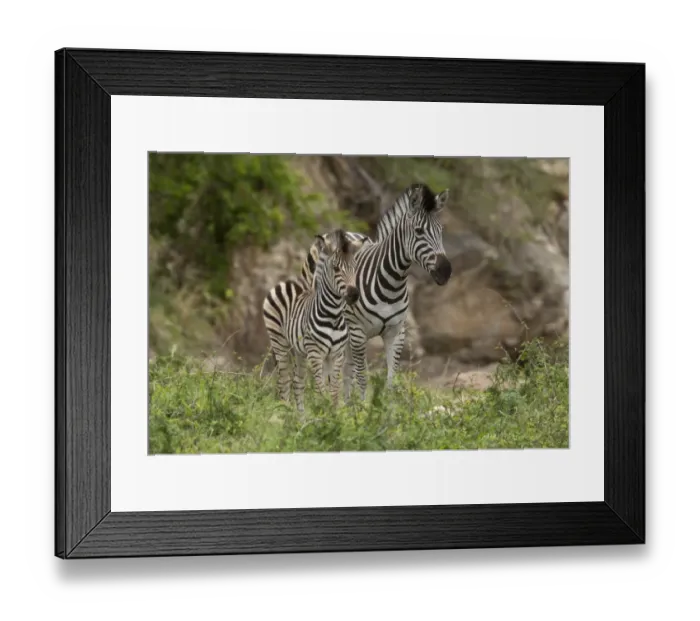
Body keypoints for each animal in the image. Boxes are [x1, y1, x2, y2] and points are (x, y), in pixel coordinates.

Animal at [262, 229, 367, 412]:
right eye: (336, 268)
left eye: (355, 267)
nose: (354, 295)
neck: (333, 316)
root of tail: (285, 282)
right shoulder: (316, 353)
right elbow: (320, 390)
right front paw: (322, 413)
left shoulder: (336, 354)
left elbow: (334, 391)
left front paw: (333, 414)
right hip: (279, 342)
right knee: (284, 382)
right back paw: (284, 412)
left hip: (299, 350)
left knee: (297, 383)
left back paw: (300, 418)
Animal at [299, 184, 451, 401]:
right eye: (419, 231)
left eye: (441, 230)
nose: (446, 271)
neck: (391, 284)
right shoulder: (358, 331)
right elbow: (363, 378)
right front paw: (363, 408)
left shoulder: (396, 333)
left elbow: (390, 380)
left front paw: (385, 408)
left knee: (346, 369)